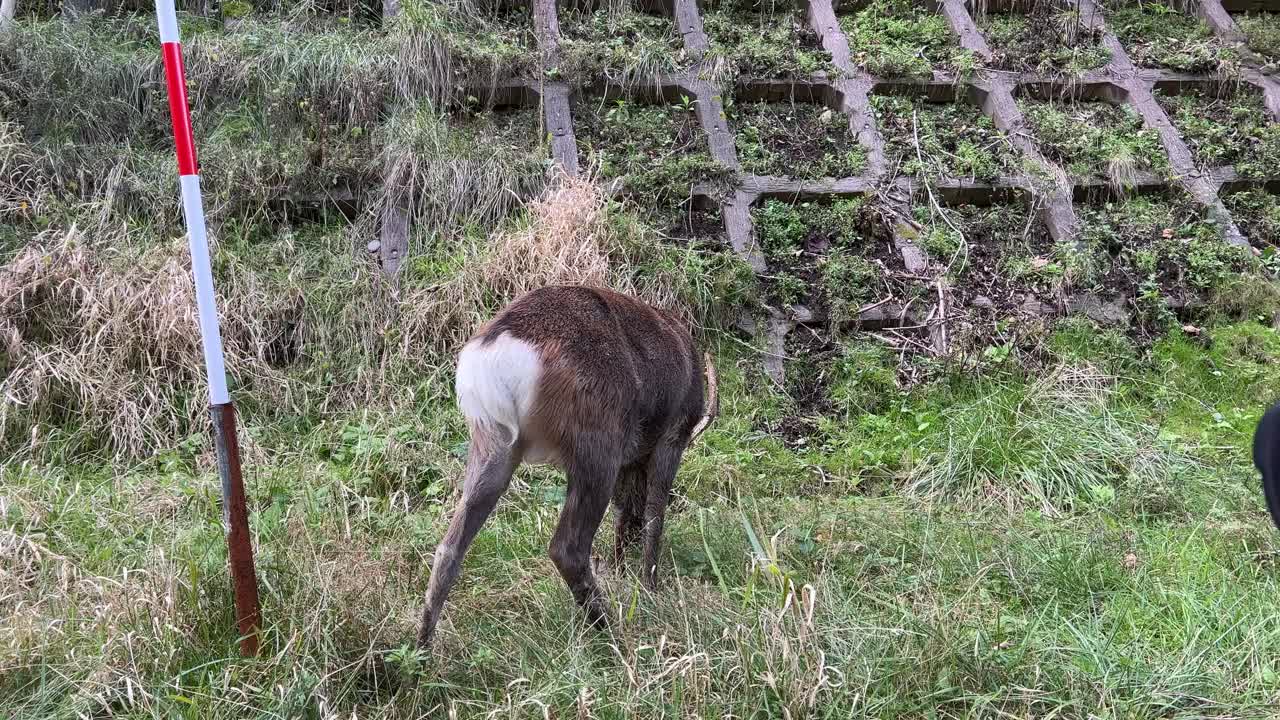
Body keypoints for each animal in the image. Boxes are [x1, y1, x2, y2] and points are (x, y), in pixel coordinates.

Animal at [419, 281, 721, 645]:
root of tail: (501, 349)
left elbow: (626, 510)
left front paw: (623, 570)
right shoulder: (673, 435)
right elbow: (654, 513)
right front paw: (650, 587)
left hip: (492, 440)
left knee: (449, 548)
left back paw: (422, 649)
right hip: (596, 441)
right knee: (568, 547)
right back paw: (612, 636)